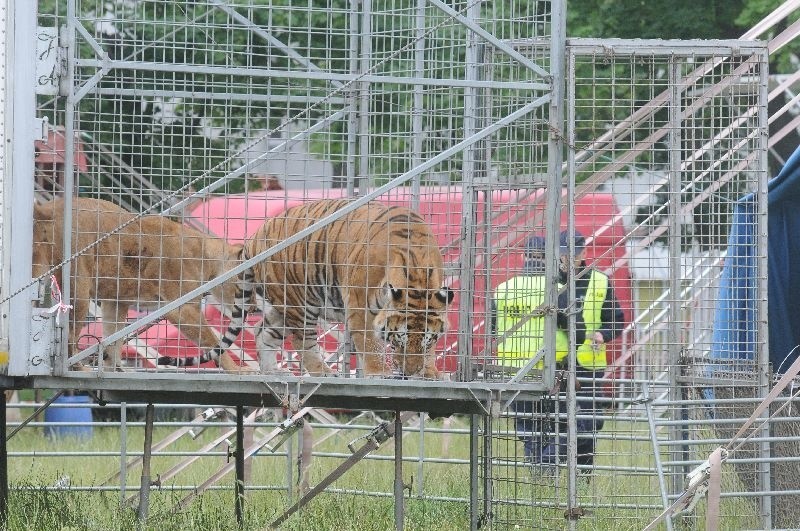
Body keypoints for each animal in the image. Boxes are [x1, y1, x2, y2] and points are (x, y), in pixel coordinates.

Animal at [32, 197, 253, 372]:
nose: (252, 308)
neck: (210, 259)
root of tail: (48, 208)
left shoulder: (116, 301)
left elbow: (113, 337)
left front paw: (115, 369)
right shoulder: (182, 308)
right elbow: (214, 343)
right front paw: (237, 371)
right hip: (79, 289)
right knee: (68, 338)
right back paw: (79, 368)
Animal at [159, 198, 454, 378]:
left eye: (427, 340)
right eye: (398, 340)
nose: (409, 373)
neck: (418, 274)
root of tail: (254, 236)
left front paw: (430, 372)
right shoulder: (359, 306)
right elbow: (369, 343)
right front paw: (378, 372)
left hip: (281, 306)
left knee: (263, 332)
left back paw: (274, 372)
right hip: (300, 299)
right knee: (303, 341)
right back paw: (323, 372)